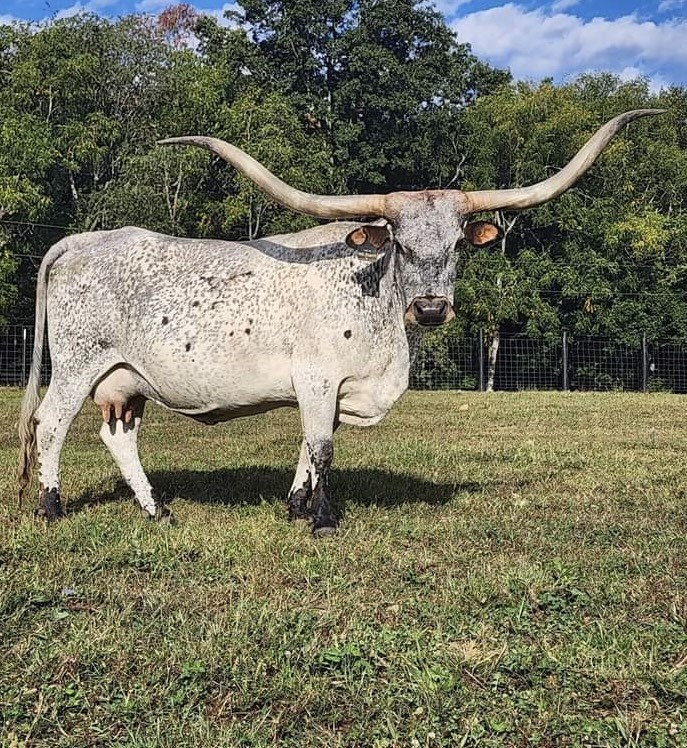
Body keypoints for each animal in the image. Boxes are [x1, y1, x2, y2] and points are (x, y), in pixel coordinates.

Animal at [18, 109, 661, 535]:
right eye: (398, 241)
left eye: (458, 243)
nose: (431, 308)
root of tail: (86, 239)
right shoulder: (317, 378)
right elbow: (323, 447)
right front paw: (322, 520)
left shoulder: (331, 387)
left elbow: (312, 444)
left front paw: (297, 506)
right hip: (77, 364)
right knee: (50, 425)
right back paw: (51, 506)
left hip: (125, 381)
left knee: (117, 436)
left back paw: (158, 510)